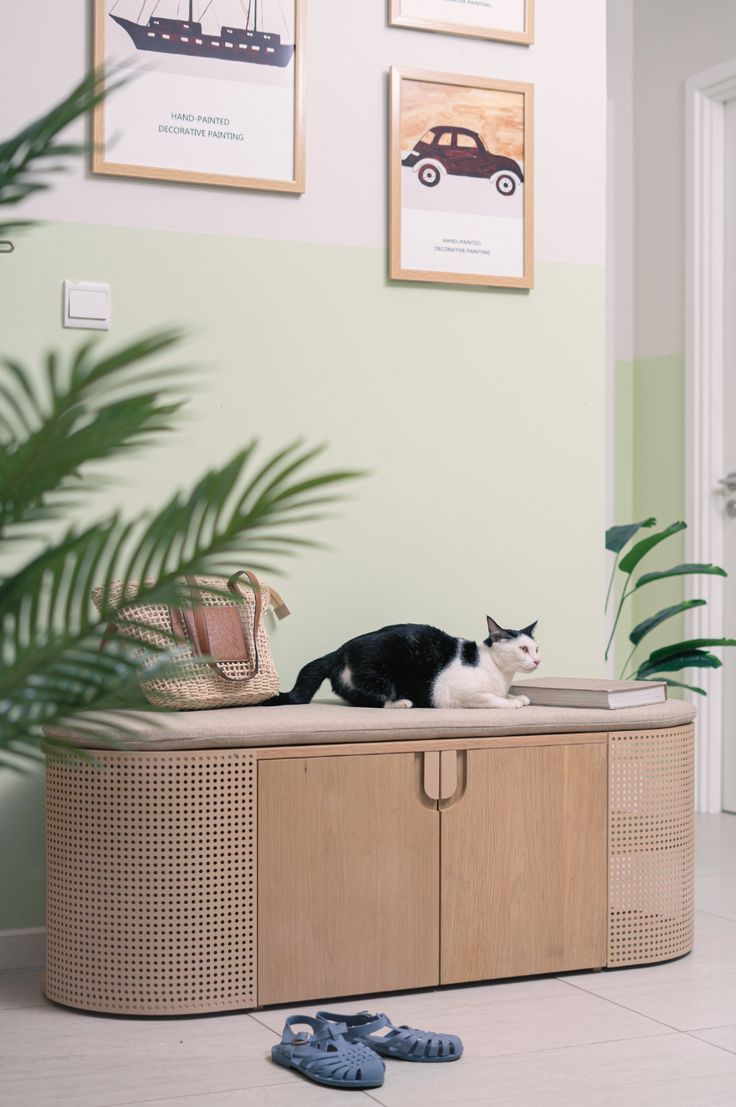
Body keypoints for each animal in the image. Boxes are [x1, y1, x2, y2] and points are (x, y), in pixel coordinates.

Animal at [270, 615, 540, 708]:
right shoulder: (460, 692)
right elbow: (491, 698)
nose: (537, 660)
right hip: (377, 677)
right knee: (370, 700)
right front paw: (511, 702)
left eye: (537, 648)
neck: (499, 673)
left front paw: (518, 697)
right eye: (523, 649)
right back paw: (400, 703)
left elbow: (505, 694)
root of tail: (338, 651)